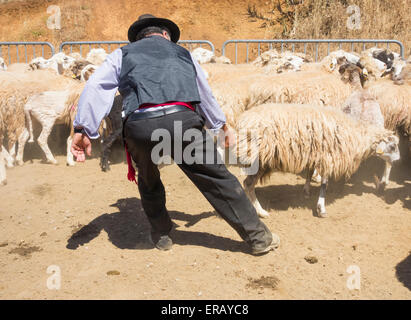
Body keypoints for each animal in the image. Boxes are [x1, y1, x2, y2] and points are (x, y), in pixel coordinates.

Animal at [232, 102, 402, 218]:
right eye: (393, 146)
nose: (399, 160)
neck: (357, 136)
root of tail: (242, 121)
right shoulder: (329, 157)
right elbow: (324, 184)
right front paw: (321, 208)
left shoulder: (315, 155)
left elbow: (309, 173)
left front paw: (306, 191)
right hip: (259, 160)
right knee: (248, 184)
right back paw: (260, 211)